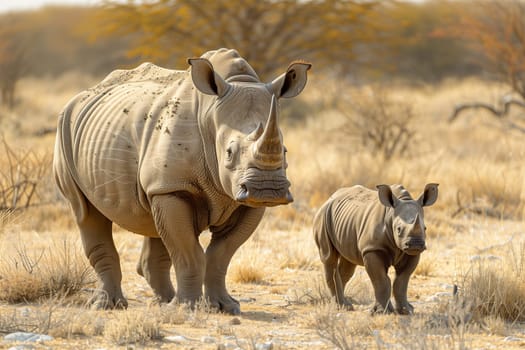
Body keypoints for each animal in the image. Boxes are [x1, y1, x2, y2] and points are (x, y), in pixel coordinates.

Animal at [53, 47, 310, 314]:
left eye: (285, 151)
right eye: (229, 153)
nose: (267, 190)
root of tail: (80, 96)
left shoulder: (242, 201)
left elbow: (221, 253)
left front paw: (224, 307)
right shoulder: (172, 187)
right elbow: (188, 251)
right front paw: (186, 308)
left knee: (153, 221)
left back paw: (163, 302)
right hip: (65, 131)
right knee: (85, 211)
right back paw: (109, 306)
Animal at [312, 183, 438, 314]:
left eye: (425, 228)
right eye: (398, 229)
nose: (415, 244)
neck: (391, 215)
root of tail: (328, 199)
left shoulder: (411, 254)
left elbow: (402, 280)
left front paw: (406, 310)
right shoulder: (372, 248)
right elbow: (381, 280)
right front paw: (381, 312)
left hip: (345, 221)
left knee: (348, 263)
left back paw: (345, 305)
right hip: (323, 218)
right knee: (329, 258)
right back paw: (342, 306)